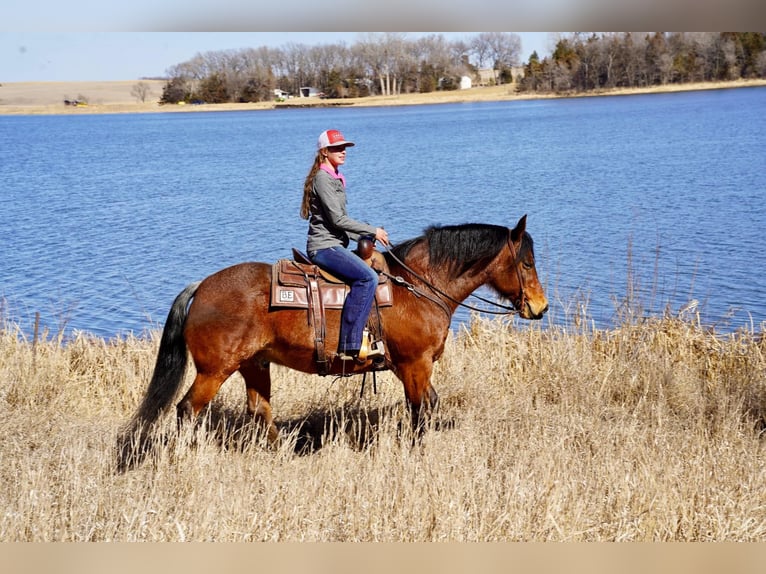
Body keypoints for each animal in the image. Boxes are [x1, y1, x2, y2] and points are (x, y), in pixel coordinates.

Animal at [118, 216, 544, 468]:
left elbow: (429, 404)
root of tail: (201, 287)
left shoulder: (409, 367)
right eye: (526, 262)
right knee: (187, 409)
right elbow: (420, 410)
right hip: (214, 370)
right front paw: (417, 454)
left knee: (259, 409)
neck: (417, 286)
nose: (540, 307)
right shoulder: (415, 364)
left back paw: (284, 455)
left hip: (254, 364)